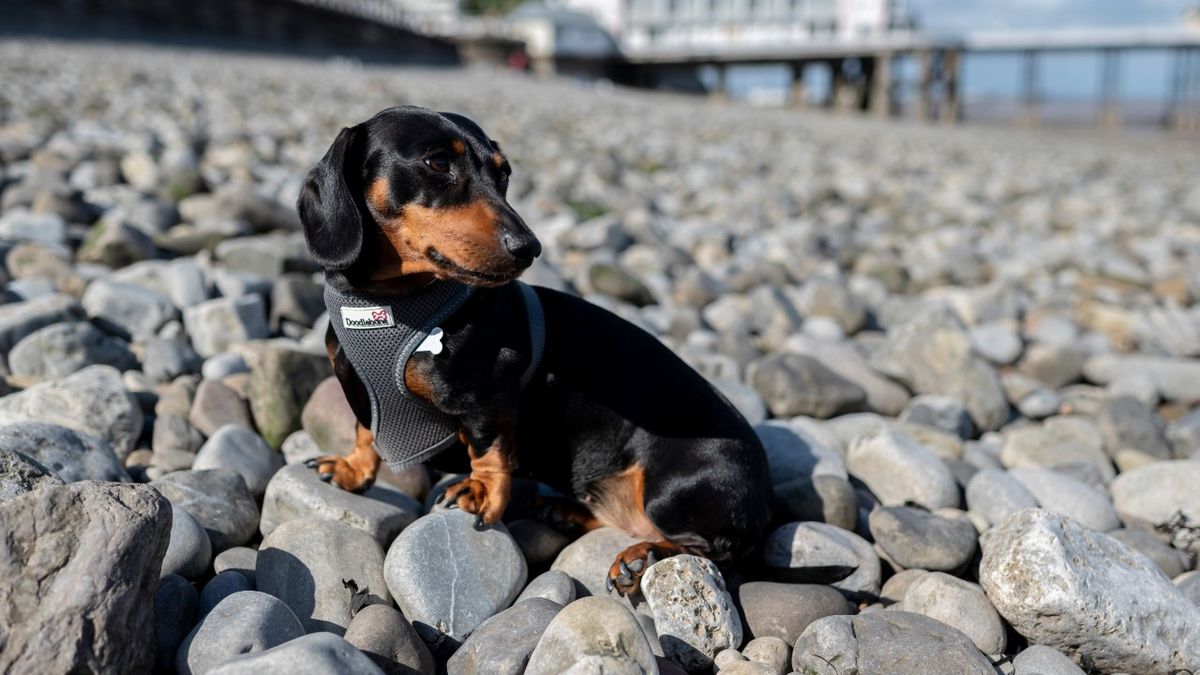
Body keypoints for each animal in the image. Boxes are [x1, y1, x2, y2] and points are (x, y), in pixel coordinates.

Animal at [295, 105, 772, 593]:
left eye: (503, 174)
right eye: (438, 162)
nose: (530, 248)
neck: (387, 306)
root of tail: (765, 500)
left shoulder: (489, 399)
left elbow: (490, 450)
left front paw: (481, 492)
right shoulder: (363, 395)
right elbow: (364, 432)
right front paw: (352, 470)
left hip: (674, 489)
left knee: (711, 552)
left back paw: (645, 556)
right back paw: (567, 511)